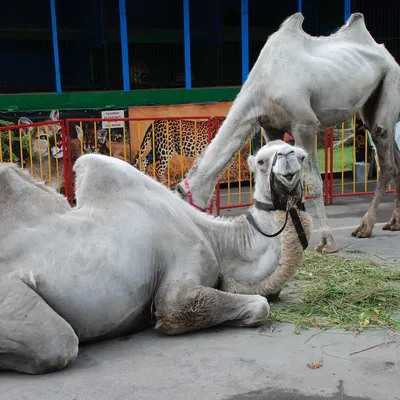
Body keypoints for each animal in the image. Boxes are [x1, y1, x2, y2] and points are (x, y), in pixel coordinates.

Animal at [0, 139, 312, 374]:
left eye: (302, 155)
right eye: (261, 161)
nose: (287, 158)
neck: (215, 239)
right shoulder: (182, 274)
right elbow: (256, 305)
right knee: (57, 345)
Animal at [176, 14, 400, 255]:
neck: (261, 87)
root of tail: (388, 55)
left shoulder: (305, 124)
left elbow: (314, 183)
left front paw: (327, 242)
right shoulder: (269, 125)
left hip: (390, 83)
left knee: (384, 152)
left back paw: (365, 227)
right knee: (395, 160)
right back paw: (394, 222)